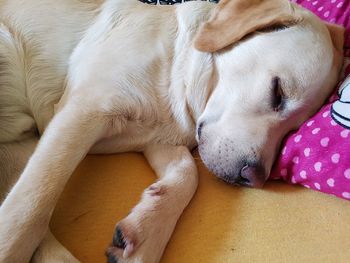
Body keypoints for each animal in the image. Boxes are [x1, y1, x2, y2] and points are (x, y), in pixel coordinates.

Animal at [0, 0, 344, 262]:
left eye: (293, 129)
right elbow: (32, 205)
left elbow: (187, 175)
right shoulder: (84, 110)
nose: (255, 177)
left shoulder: (159, 139)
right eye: (278, 92)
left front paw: (148, 229)